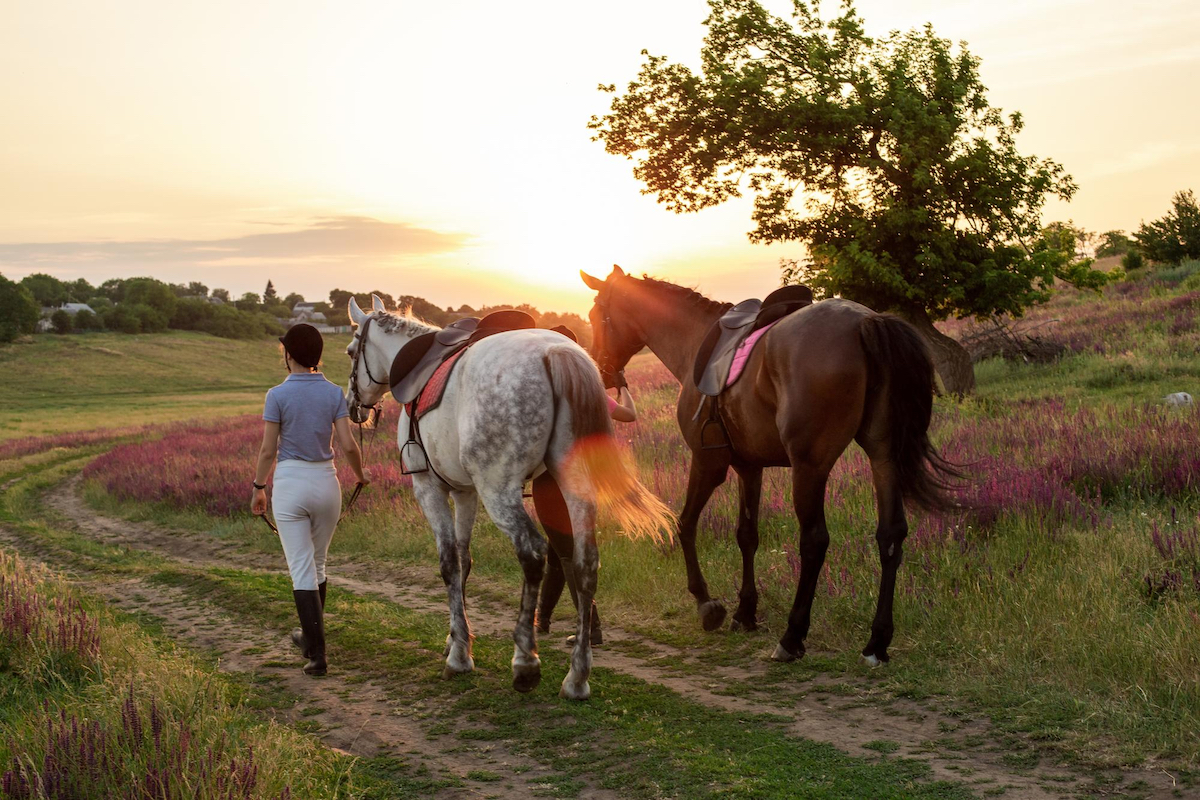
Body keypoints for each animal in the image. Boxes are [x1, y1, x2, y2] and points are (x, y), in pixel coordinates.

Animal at [578, 266, 955, 666]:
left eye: (595, 316)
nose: (601, 371)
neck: (695, 340)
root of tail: (868, 321)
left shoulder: (708, 463)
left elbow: (685, 524)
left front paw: (707, 604)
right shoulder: (749, 468)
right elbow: (747, 535)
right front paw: (745, 612)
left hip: (810, 467)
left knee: (814, 541)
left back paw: (792, 636)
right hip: (883, 456)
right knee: (891, 535)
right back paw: (877, 642)